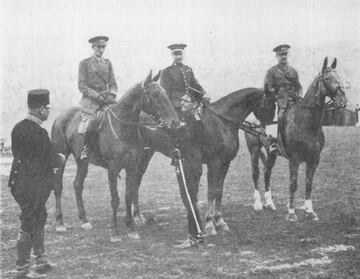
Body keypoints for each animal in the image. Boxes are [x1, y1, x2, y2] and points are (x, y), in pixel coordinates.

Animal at [50, 72, 180, 243]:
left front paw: (132, 229)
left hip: (81, 161)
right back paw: (60, 223)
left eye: (165, 93)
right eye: (155, 95)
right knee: (58, 187)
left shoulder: (132, 167)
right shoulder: (112, 169)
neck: (123, 129)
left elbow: (128, 195)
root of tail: (59, 117)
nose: (175, 122)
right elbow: (115, 199)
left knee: (78, 185)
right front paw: (115, 232)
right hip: (61, 158)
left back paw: (84, 220)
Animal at [128, 87, 272, 241]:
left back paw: (138, 216)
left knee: (136, 182)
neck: (221, 122)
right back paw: (136, 217)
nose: (266, 135)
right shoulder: (214, 163)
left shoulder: (225, 164)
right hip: (141, 156)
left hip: (146, 155)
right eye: (270, 103)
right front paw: (209, 224)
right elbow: (211, 192)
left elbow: (219, 191)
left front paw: (220, 221)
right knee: (135, 182)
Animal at [245, 58, 346, 222]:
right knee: (256, 173)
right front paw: (291, 213)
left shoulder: (314, 159)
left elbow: (308, 183)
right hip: (254, 149)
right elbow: (293, 184)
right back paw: (258, 204)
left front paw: (310, 211)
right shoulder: (295, 158)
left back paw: (270, 203)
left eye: (338, 76)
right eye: (326, 78)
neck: (306, 122)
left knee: (267, 172)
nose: (342, 102)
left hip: (271, 153)